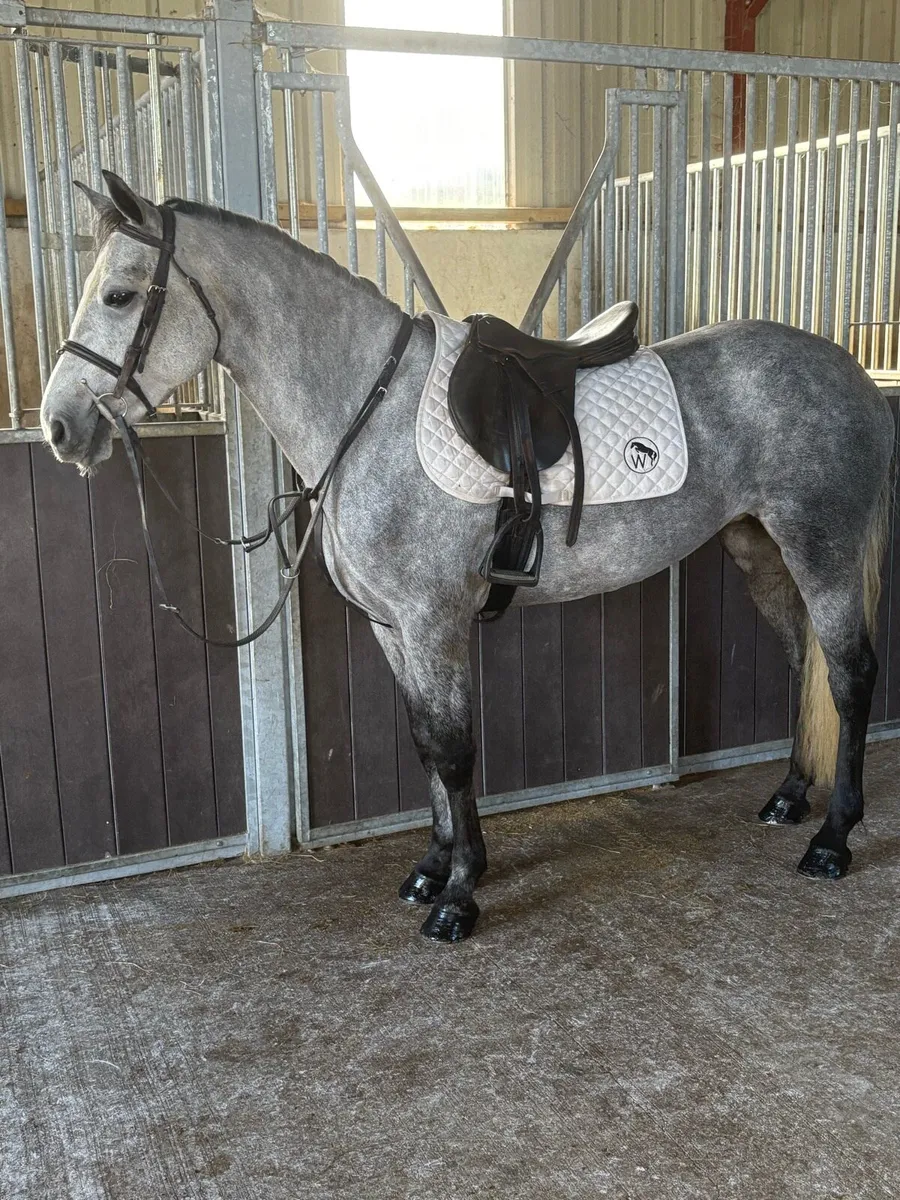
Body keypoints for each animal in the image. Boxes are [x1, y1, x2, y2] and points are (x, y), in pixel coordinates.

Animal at [40, 171, 895, 943]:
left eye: (118, 295)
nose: (58, 425)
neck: (369, 410)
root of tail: (849, 371)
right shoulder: (394, 626)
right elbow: (426, 743)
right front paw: (436, 867)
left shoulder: (432, 619)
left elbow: (452, 750)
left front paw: (458, 898)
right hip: (762, 550)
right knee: (804, 658)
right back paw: (789, 799)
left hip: (821, 550)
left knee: (850, 676)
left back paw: (832, 840)